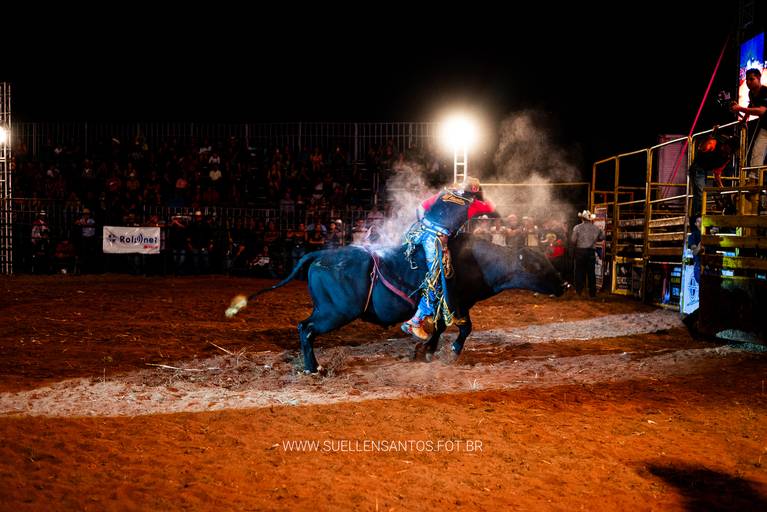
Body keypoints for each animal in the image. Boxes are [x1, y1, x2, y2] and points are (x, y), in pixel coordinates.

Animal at [226, 234, 566, 373]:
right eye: (538, 266)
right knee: (305, 328)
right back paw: (313, 367)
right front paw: (448, 353)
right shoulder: (458, 304)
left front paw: (423, 351)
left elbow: (438, 330)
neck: (478, 261)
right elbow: (464, 329)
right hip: (335, 312)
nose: (565, 284)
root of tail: (320, 254)